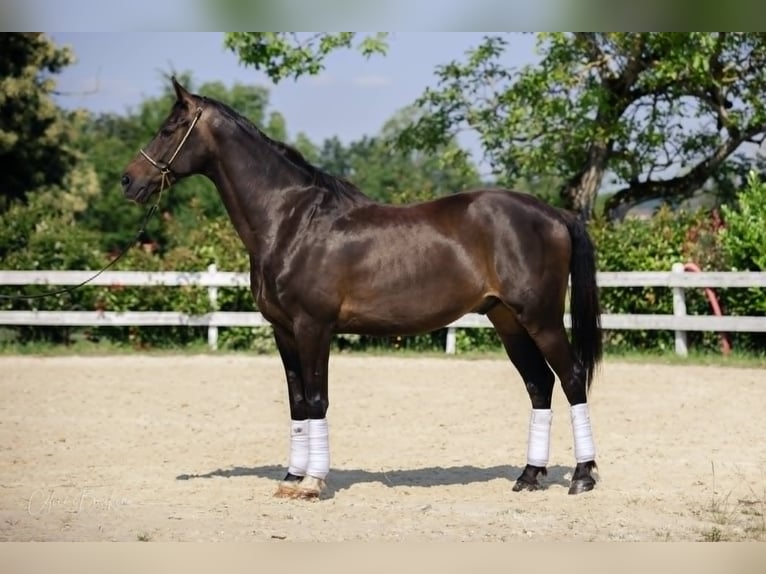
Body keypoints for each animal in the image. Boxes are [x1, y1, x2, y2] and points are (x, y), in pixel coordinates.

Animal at [120, 78, 603, 499]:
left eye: (168, 129)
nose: (128, 180)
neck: (292, 220)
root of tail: (554, 214)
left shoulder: (313, 327)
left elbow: (317, 399)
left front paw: (312, 482)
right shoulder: (284, 330)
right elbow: (298, 402)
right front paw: (291, 477)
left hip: (540, 318)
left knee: (571, 377)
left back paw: (582, 477)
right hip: (506, 319)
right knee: (540, 384)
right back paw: (529, 476)